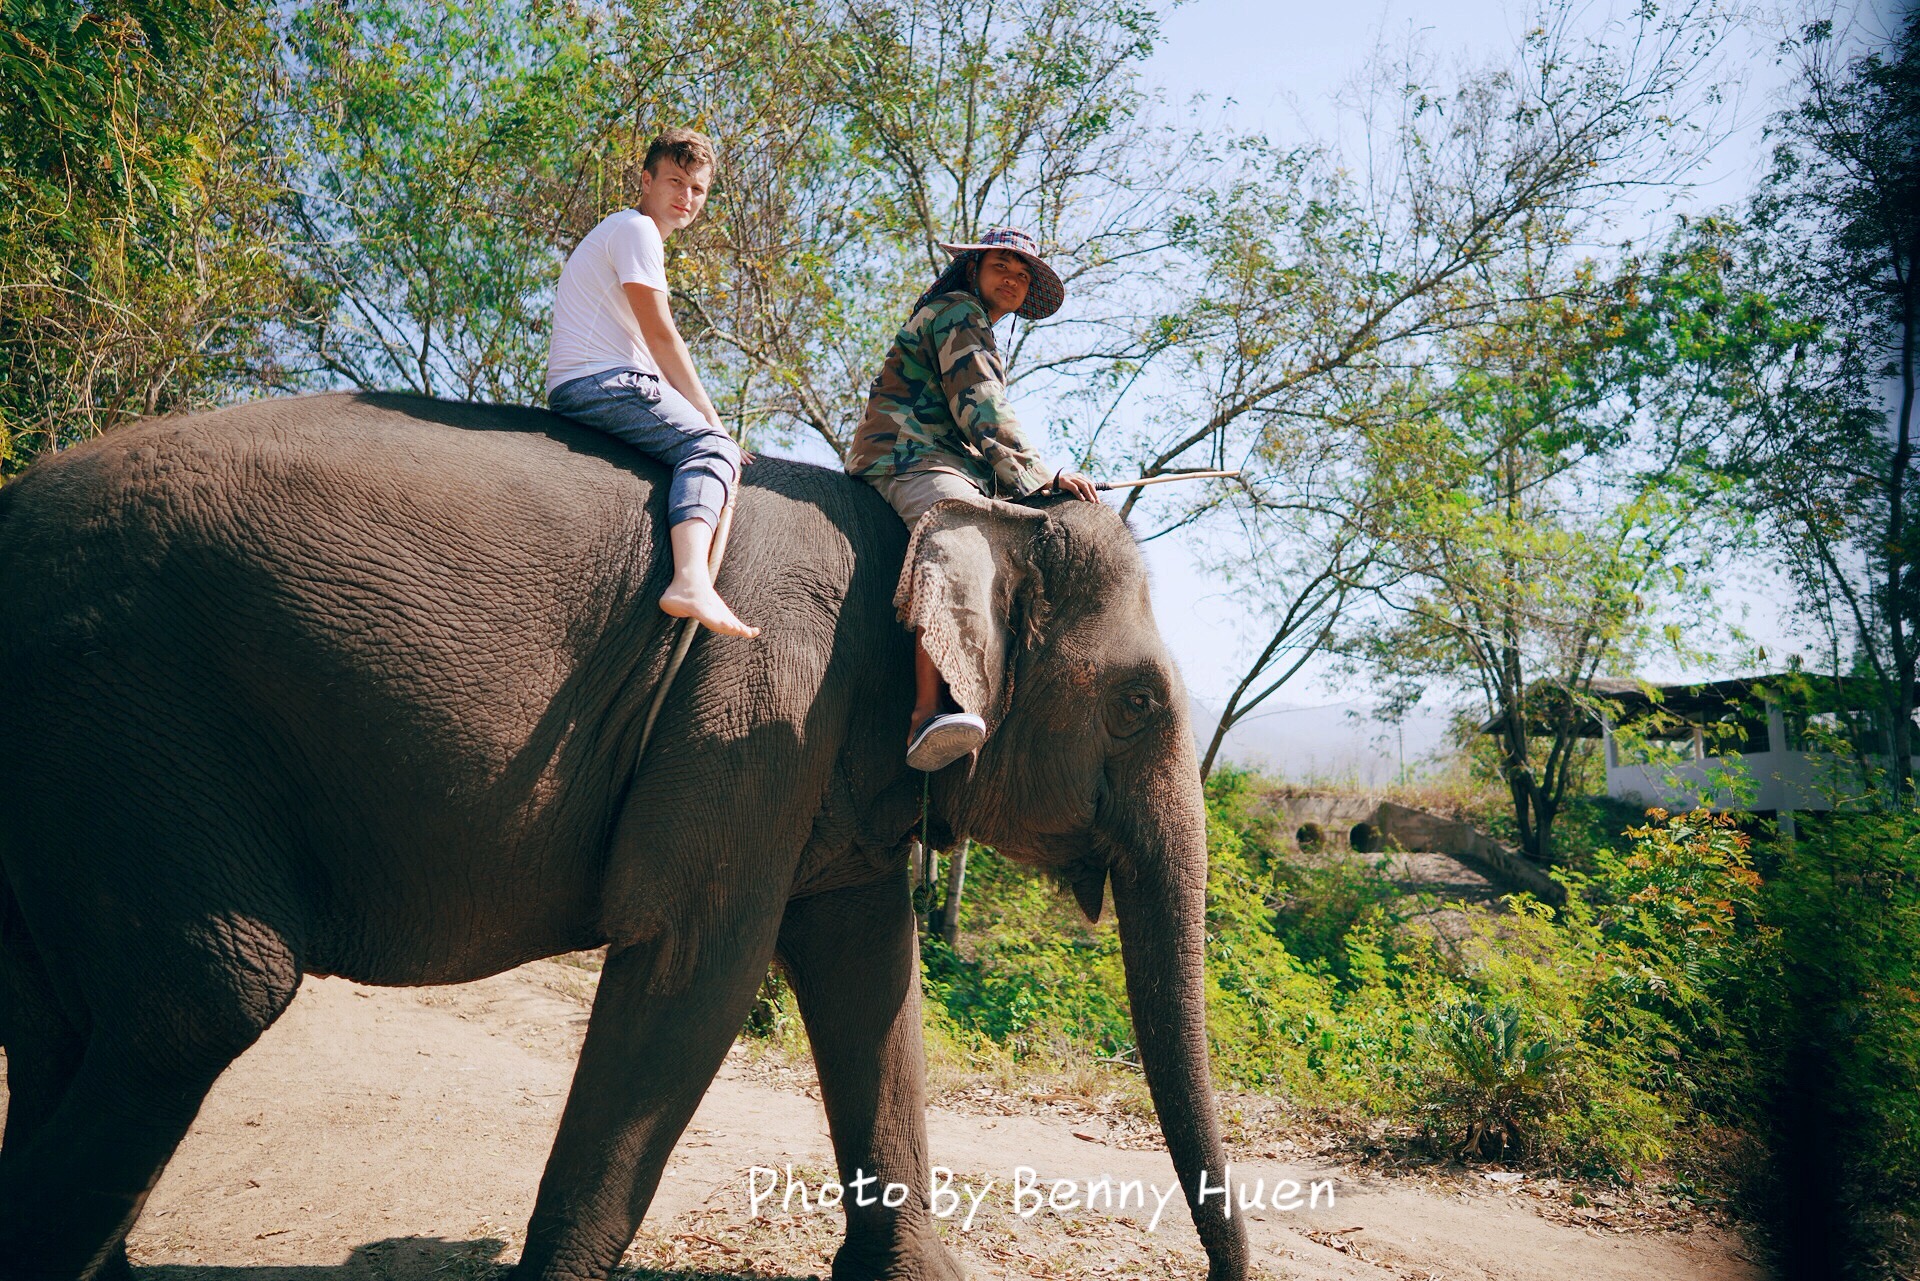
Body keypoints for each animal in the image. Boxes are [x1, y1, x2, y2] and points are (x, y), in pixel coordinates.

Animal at [0, 395, 1251, 1281]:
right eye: (1141, 703)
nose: (1217, 1278)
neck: (940, 518)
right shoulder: (757, 708)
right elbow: (697, 967)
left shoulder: (830, 761)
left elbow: (871, 975)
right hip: (127, 717)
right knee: (204, 1000)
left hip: (71, 774)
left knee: (66, 1019)